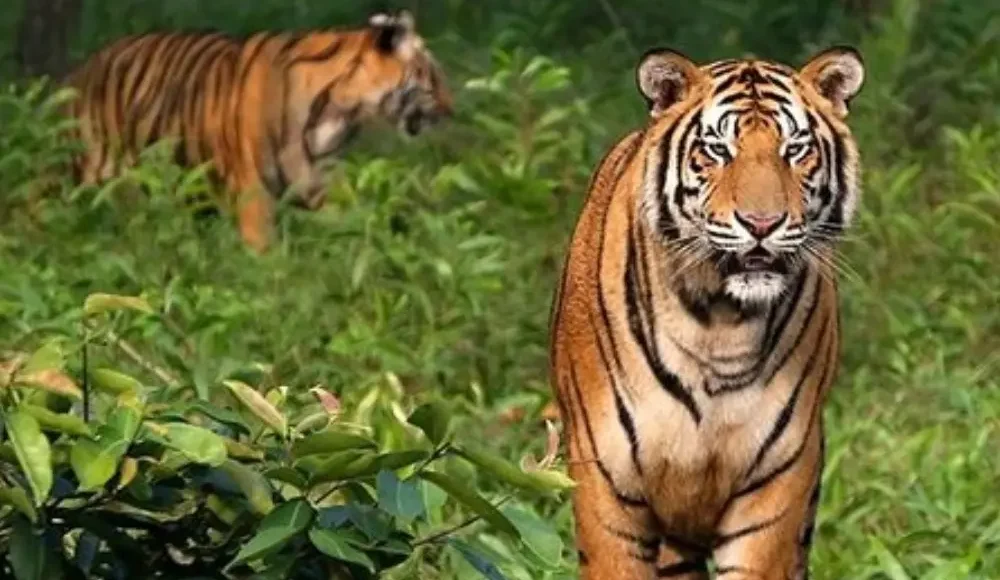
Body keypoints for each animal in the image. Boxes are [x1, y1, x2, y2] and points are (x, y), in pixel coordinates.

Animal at [61, 10, 453, 252]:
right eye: (432, 77)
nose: (452, 110)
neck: (340, 113)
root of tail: (81, 69)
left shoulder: (321, 183)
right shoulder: (253, 193)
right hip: (93, 177)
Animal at [548, 45, 865, 579]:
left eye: (795, 149)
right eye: (717, 150)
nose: (762, 223)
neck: (720, 323)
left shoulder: (778, 480)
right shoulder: (606, 480)